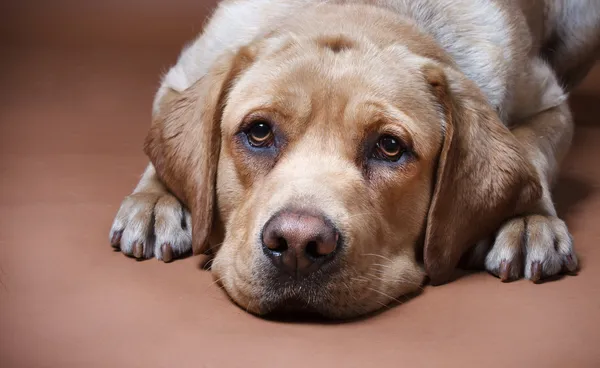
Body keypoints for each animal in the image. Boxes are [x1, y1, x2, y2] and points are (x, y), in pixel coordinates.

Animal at [109, 0, 600, 320]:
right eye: (259, 132)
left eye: (390, 147)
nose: (298, 245)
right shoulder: (181, 76)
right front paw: (154, 201)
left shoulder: (549, 101)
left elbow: (530, 152)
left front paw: (531, 219)